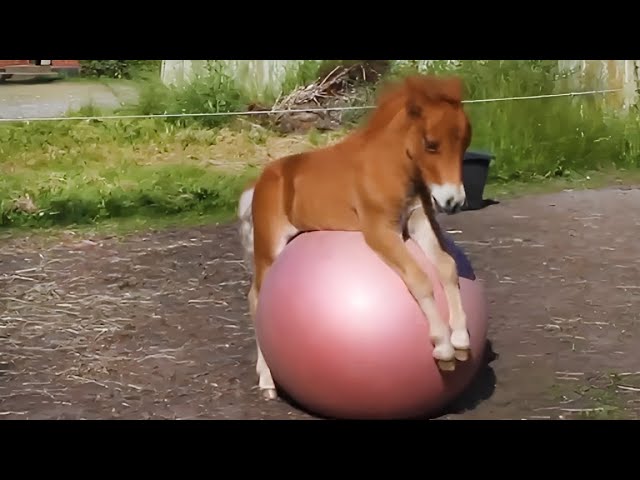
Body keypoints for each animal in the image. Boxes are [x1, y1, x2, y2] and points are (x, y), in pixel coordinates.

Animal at [238, 73, 473, 400]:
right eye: (431, 144)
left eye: (465, 143)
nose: (453, 201)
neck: (389, 167)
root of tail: (261, 181)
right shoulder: (379, 230)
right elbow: (418, 277)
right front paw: (443, 347)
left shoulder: (419, 221)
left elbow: (447, 266)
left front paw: (461, 339)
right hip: (269, 249)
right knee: (256, 298)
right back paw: (268, 381)